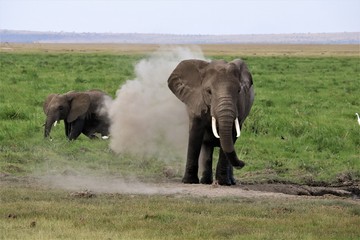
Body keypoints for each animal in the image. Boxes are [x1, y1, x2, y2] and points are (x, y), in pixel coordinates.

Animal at [168, 58, 255, 186]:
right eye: (209, 91)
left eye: (239, 91)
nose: (243, 163)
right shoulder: (196, 101)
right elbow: (195, 134)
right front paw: (189, 182)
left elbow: (231, 135)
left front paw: (223, 183)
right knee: (207, 146)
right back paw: (205, 182)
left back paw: (229, 181)